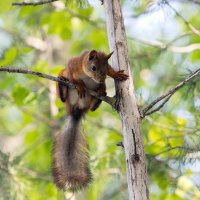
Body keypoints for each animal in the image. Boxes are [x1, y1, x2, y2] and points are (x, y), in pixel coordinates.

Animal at [52, 49, 129, 191]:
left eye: (106, 66)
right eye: (93, 67)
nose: (101, 79)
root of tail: (77, 109)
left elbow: (112, 72)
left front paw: (116, 74)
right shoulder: (73, 65)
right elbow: (73, 76)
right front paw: (80, 85)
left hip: (94, 95)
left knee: (94, 105)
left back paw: (99, 96)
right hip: (65, 91)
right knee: (63, 96)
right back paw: (62, 83)